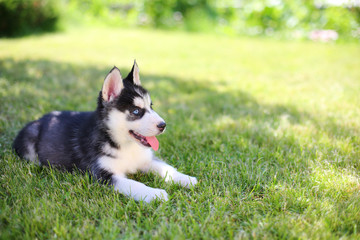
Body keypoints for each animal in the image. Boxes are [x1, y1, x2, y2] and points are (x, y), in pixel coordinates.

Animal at [12, 62, 197, 202]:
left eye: (151, 106)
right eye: (136, 111)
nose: (163, 125)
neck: (125, 146)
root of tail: (40, 118)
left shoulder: (145, 160)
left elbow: (166, 168)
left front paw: (185, 179)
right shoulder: (103, 175)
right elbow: (134, 184)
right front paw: (155, 193)